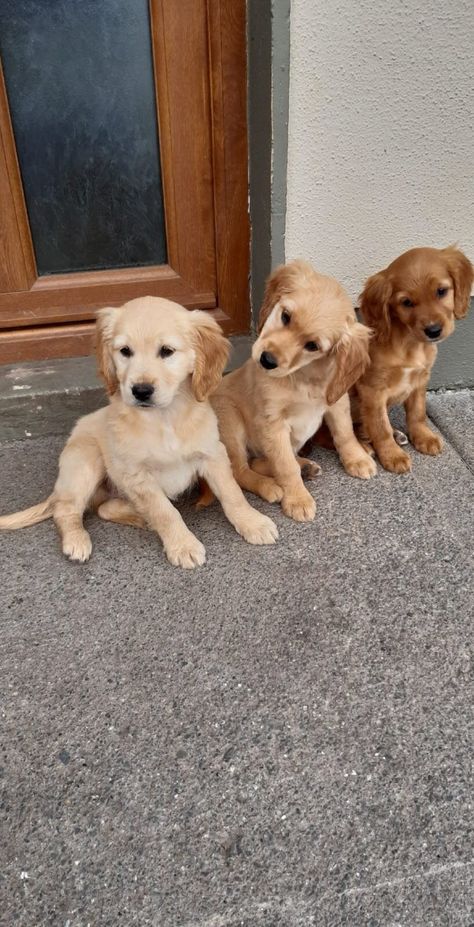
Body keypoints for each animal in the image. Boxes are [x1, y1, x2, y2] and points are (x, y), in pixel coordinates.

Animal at [0, 300, 278, 568]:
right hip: (85, 462)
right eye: (125, 351)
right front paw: (183, 546)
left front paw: (253, 522)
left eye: (166, 351)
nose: (141, 391)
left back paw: (139, 518)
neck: (165, 418)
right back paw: (77, 541)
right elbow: (165, 512)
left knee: (104, 508)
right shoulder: (138, 475)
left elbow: (232, 493)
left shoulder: (212, 454)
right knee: (66, 509)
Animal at [358, 246, 472, 472]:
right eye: (406, 303)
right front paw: (392, 455)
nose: (433, 331)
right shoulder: (372, 390)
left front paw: (423, 437)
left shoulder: (420, 380)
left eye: (441, 291)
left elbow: (417, 413)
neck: (410, 343)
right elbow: (380, 426)